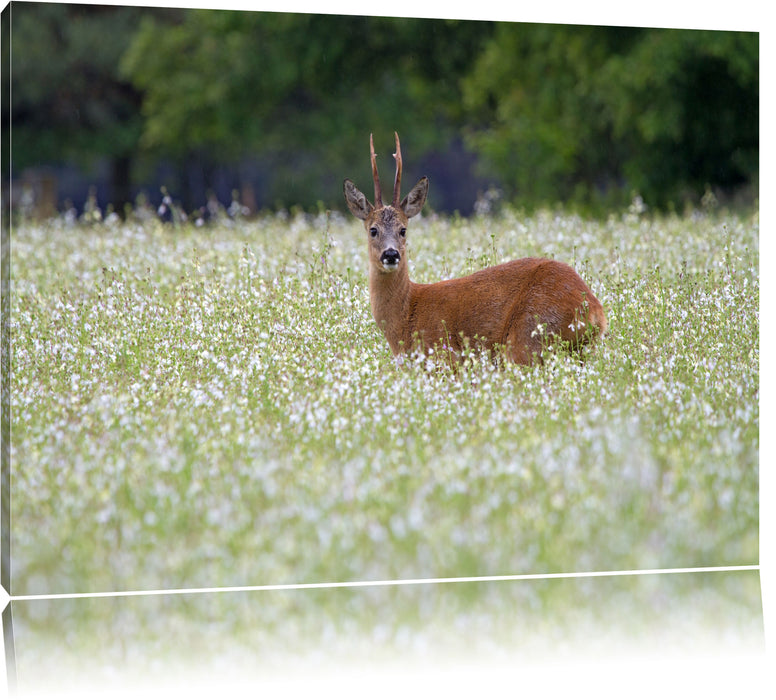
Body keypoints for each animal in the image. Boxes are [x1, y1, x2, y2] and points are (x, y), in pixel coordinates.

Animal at [344, 133, 608, 370]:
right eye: (373, 230)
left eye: (403, 230)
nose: (391, 254)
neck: (407, 314)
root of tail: (596, 311)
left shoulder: (445, 359)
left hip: (529, 337)